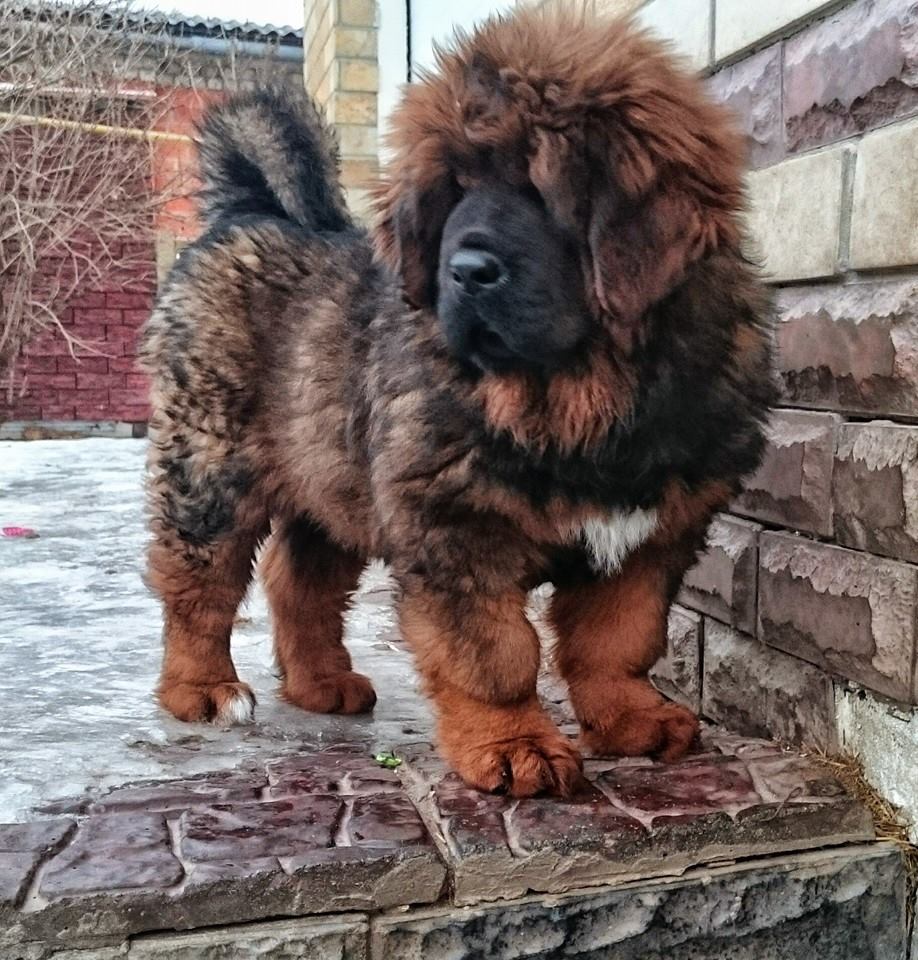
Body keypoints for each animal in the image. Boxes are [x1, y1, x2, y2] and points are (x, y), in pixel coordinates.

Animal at [141, 7, 775, 798]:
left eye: (544, 189)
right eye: (456, 192)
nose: (465, 271)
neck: (578, 397)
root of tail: (248, 213)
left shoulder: (651, 533)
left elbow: (618, 640)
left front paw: (632, 721)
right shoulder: (452, 527)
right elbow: (495, 654)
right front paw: (514, 747)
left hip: (332, 474)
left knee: (300, 584)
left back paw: (322, 685)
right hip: (209, 465)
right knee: (198, 583)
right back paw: (200, 690)